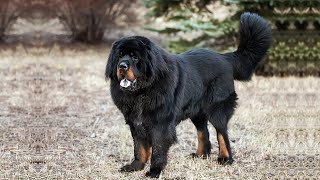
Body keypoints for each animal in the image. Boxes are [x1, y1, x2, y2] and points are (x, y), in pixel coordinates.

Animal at [106, 13, 272, 179]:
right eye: (119, 56)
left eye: (134, 57)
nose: (122, 66)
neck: (142, 91)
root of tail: (224, 58)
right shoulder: (136, 122)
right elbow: (139, 147)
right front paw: (135, 166)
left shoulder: (161, 124)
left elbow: (158, 149)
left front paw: (154, 171)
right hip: (197, 111)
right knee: (203, 132)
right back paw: (201, 155)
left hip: (217, 110)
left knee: (222, 133)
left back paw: (225, 158)